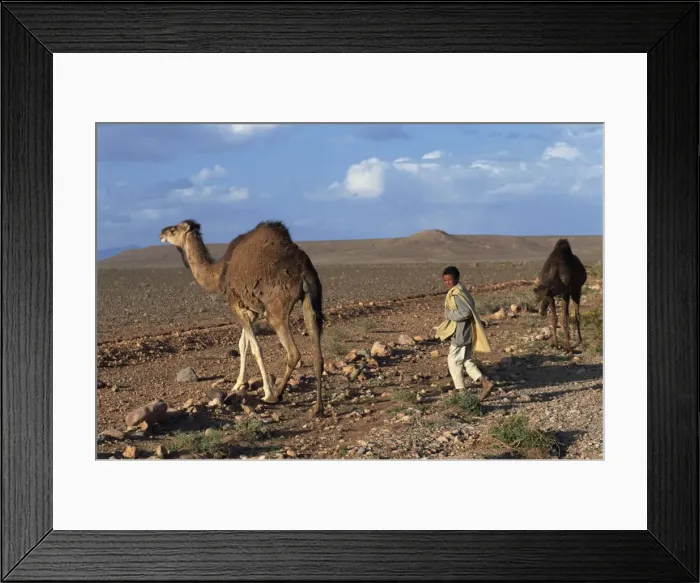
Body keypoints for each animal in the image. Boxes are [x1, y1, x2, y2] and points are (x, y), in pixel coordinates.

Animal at [159, 219, 326, 416]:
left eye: (173, 230)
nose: (161, 233)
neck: (219, 273)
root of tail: (302, 271)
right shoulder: (252, 311)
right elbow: (242, 344)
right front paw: (238, 384)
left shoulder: (236, 305)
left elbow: (255, 349)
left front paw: (266, 391)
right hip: (312, 298)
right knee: (317, 351)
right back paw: (317, 407)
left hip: (276, 310)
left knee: (293, 353)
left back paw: (275, 395)